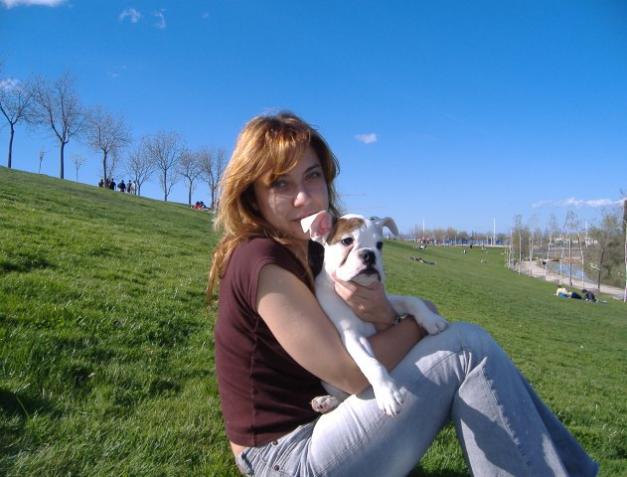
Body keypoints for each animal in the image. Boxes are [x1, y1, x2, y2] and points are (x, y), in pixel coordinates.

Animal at [301, 211, 448, 416]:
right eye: (347, 241)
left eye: (379, 245)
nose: (369, 254)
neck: (360, 288)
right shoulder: (352, 336)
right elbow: (371, 363)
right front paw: (387, 393)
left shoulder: (386, 303)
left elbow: (411, 300)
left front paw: (431, 319)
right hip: (327, 380)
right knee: (343, 396)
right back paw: (326, 401)